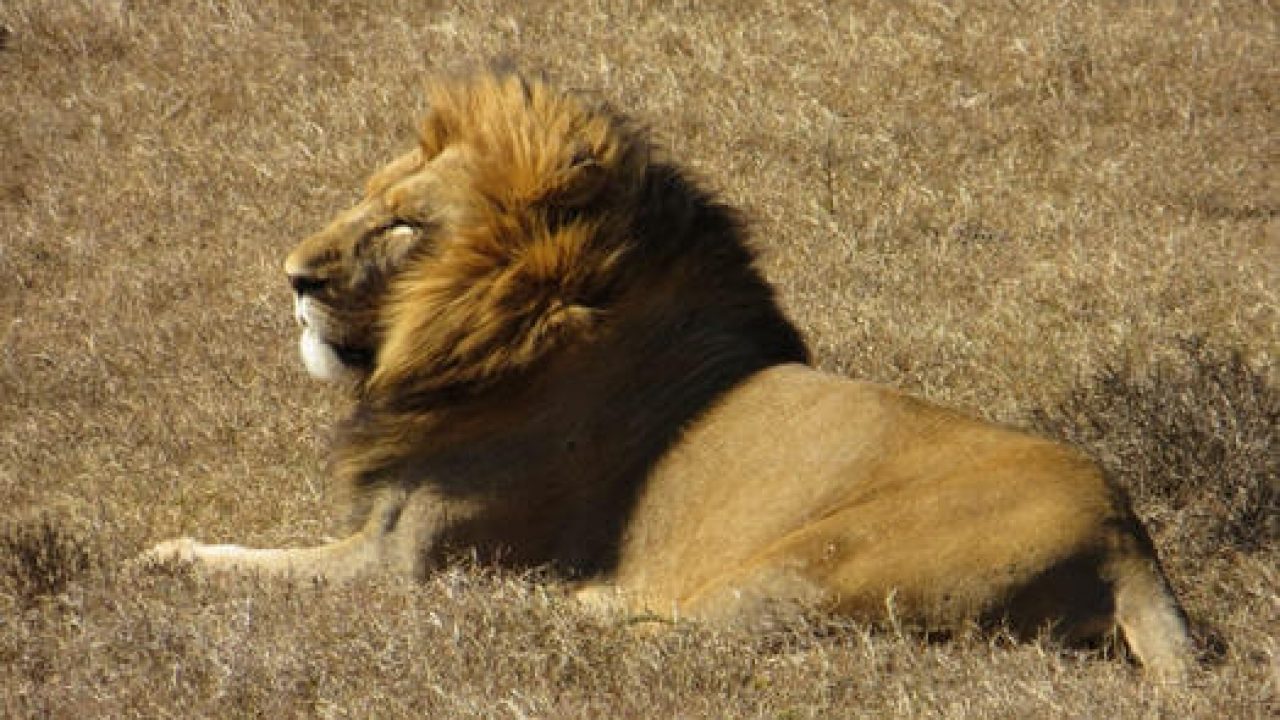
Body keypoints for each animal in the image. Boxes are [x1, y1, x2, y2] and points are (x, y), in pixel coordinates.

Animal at [145, 71, 1192, 676]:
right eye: (369, 200)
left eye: (404, 225)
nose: (292, 276)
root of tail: (1127, 540)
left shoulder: (401, 565)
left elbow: (251, 569)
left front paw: (161, 558)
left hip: (817, 563)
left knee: (680, 642)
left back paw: (563, 607)